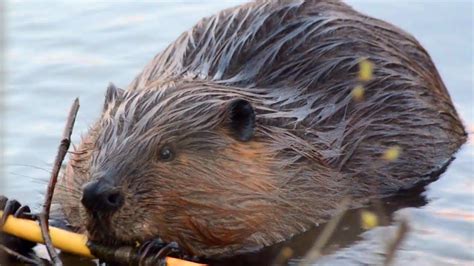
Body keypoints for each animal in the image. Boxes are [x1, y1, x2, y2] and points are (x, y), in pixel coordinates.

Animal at [25, 0, 466, 260]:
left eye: (166, 152)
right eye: (99, 142)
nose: (100, 194)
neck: (292, 142)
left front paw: (160, 246)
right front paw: (21, 211)